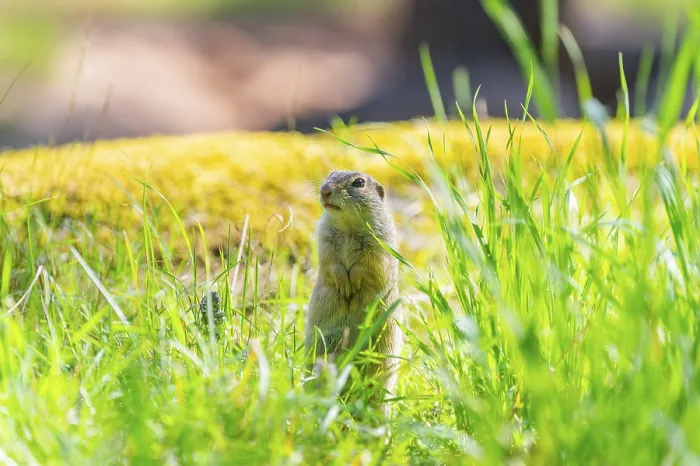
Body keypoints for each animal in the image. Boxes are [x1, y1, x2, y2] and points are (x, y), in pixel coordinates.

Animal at [304, 170, 403, 417]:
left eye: (359, 183)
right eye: (330, 174)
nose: (324, 190)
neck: (347, 227)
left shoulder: (378, 246)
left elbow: (368, 266)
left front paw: (353, 283)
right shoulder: (325, 241)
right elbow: (331, 263)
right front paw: (344, 284)